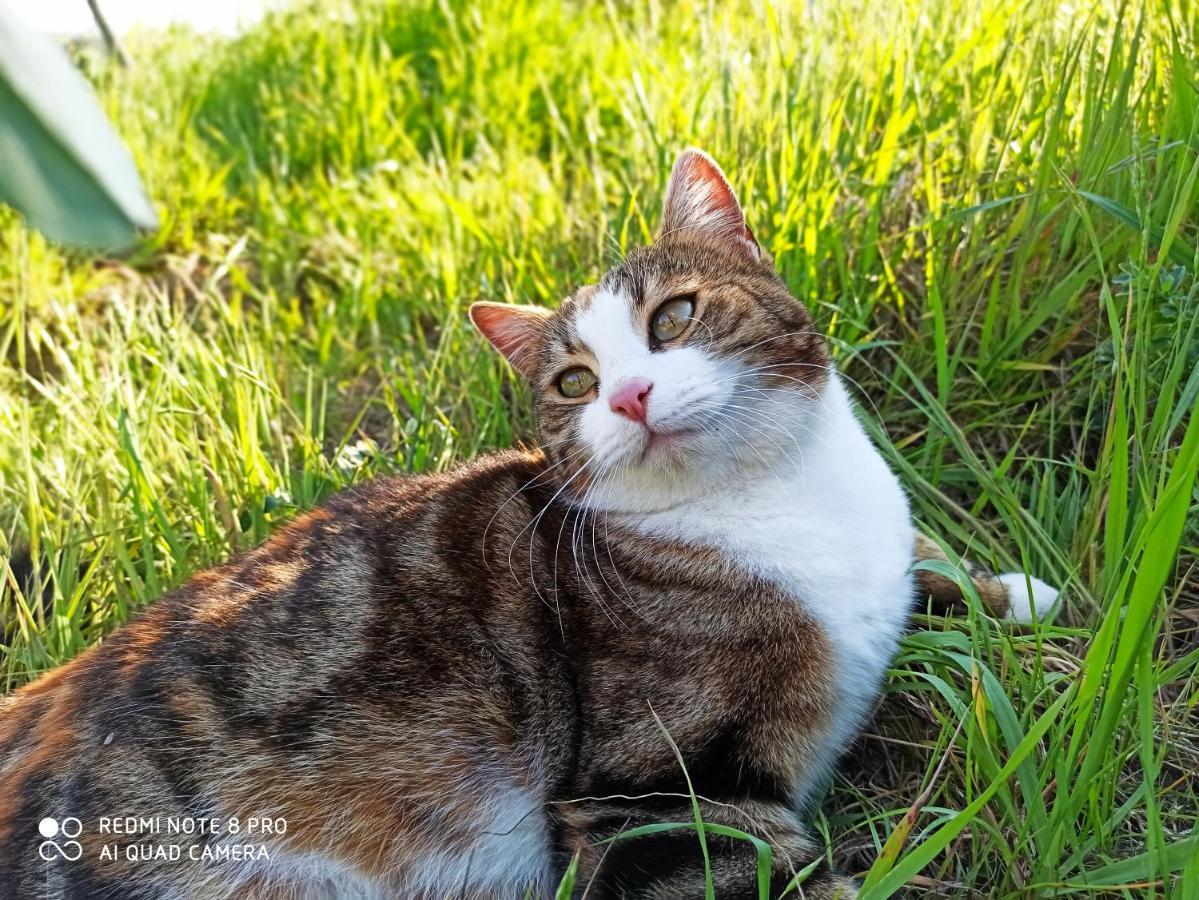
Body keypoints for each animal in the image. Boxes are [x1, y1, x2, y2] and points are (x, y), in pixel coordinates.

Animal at [0, 151, 1059, 896]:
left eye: (674, 318)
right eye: (574, 383)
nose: (628, 396)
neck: (770, 498)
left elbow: (930, 566)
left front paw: (1016, 594)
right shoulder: (652, 796)